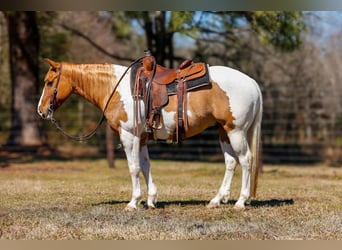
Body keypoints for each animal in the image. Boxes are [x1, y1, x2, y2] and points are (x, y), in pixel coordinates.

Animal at [36, 57, 262, 211]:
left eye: (49, 82)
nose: (41, 111)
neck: (115, 88)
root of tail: (252, 82)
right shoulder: (142, 138)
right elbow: (146, 166)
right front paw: (151, 200)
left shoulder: (129, 136)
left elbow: (134, 168)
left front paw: (133, 202)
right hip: (224, 131)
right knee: (231, 162)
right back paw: (216, 200)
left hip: (236, 131)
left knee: (246, 160)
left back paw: (241, 201)